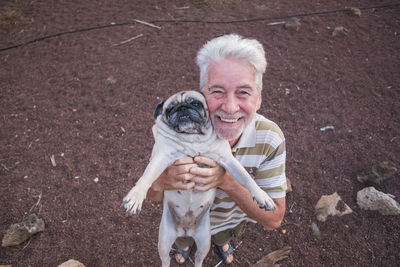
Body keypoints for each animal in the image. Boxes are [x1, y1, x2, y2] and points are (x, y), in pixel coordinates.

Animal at [122, 91, 276, 266]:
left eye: (195, 103)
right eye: (170, 109)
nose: (182, 108)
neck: (192, 139)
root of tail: (185, 230)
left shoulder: (227, 160)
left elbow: (246, 178)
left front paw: (262, 196)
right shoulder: (160, 158)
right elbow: (146, 177)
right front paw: (135, 197)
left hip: (204, 242)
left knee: (198, 259)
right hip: (164, 241)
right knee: (166, 259)